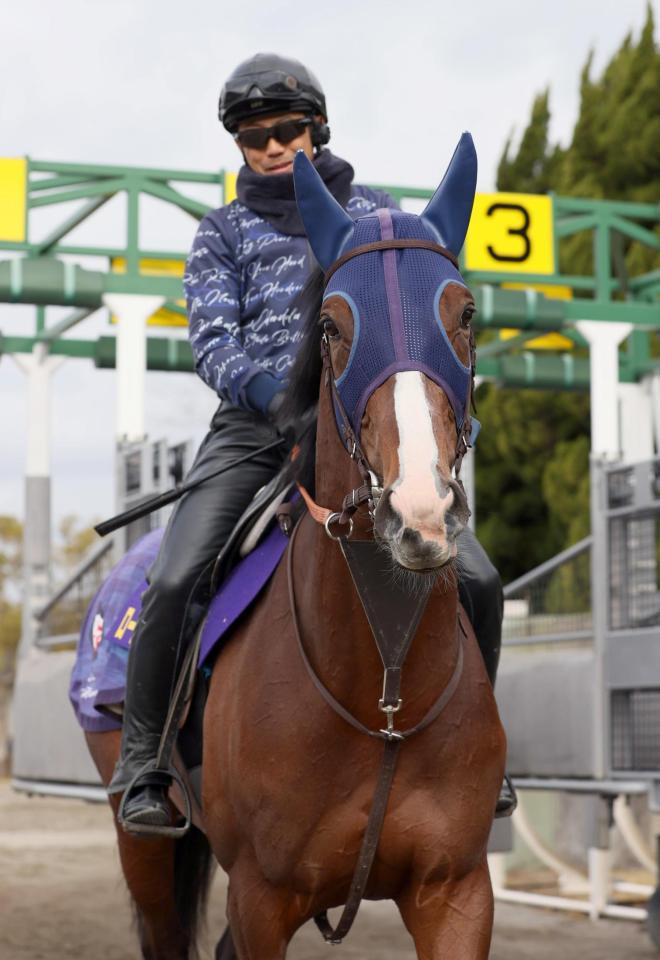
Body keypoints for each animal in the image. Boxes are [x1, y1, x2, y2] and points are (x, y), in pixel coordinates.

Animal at [85, 135, 502, 960]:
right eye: (333, 326)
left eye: (465, 312)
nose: (419, 509)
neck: (382, 691)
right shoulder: (262, 897)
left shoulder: (457, 891)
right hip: (142, 839)